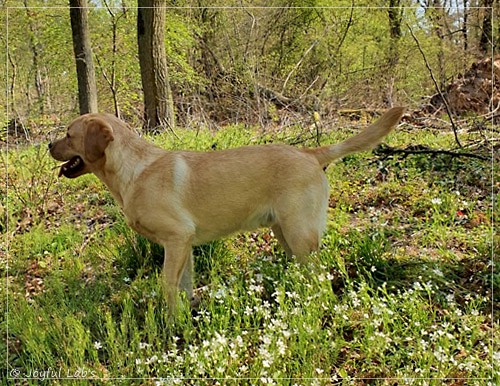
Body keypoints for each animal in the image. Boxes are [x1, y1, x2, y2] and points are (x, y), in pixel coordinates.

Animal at [49, 108, 402, 310]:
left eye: (68, 134)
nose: (48, 145)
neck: (133, 170)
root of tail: (309, 152)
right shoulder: (184, 246)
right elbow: (183, 288)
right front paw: (185, 321)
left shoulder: (176, 238)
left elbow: (167, 287)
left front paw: (169, 327)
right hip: (285, 234)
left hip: (300, 235)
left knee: (322, 276)